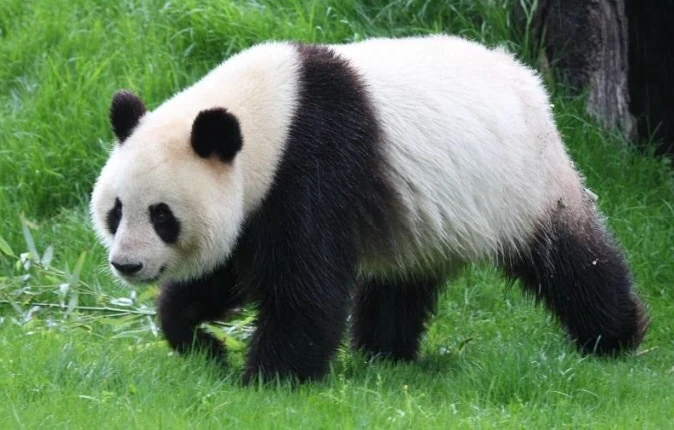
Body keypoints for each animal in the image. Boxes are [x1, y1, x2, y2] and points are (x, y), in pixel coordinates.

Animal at [90, 35, 648, 384]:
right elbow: (229, 270)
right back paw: (385, 352)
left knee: (570, 259)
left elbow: (303, 282)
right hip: (427, 213)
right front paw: (203, 342)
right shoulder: (260, 196)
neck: (269, 113)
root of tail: (527, 78)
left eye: (162, 216)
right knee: (402, 279)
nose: (127, 265)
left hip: (521, 183)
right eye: (116, 211)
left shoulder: (314, 161)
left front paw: (268, 379)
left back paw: (615, 336)